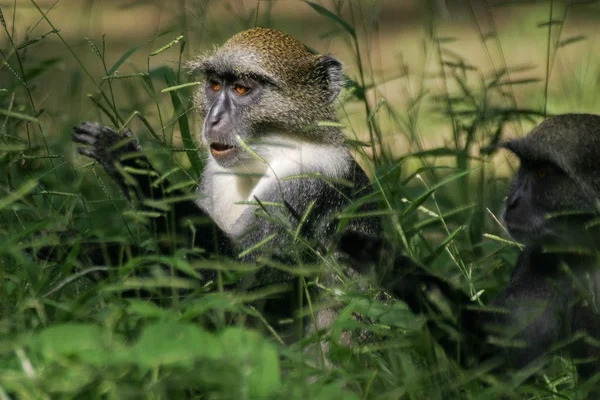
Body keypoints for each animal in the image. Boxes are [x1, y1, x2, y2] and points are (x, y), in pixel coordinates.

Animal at [71, 28, 380, 338]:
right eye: (215, 85)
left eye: (241, 89)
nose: (213, 119)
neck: (269, 151)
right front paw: (83, 252)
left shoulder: (305, 181)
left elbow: (234, 275)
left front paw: (124, 159)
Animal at [340, 112, 600, 384]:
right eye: (524, 168)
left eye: (542, 173)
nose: (512, 201)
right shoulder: (543, 260)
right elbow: (501, 361)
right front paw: (391, 266)